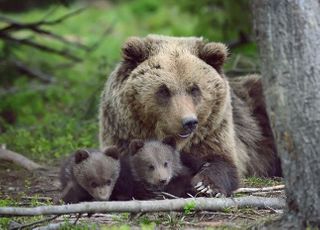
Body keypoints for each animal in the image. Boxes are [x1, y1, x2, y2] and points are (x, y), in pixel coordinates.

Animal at [99, 34, 282, 196]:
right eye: (164, 90)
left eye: (194, 89)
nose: (189, 122)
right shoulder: (123, 136)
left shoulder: (212, 133)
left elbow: (223, 163)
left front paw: (205, 185)